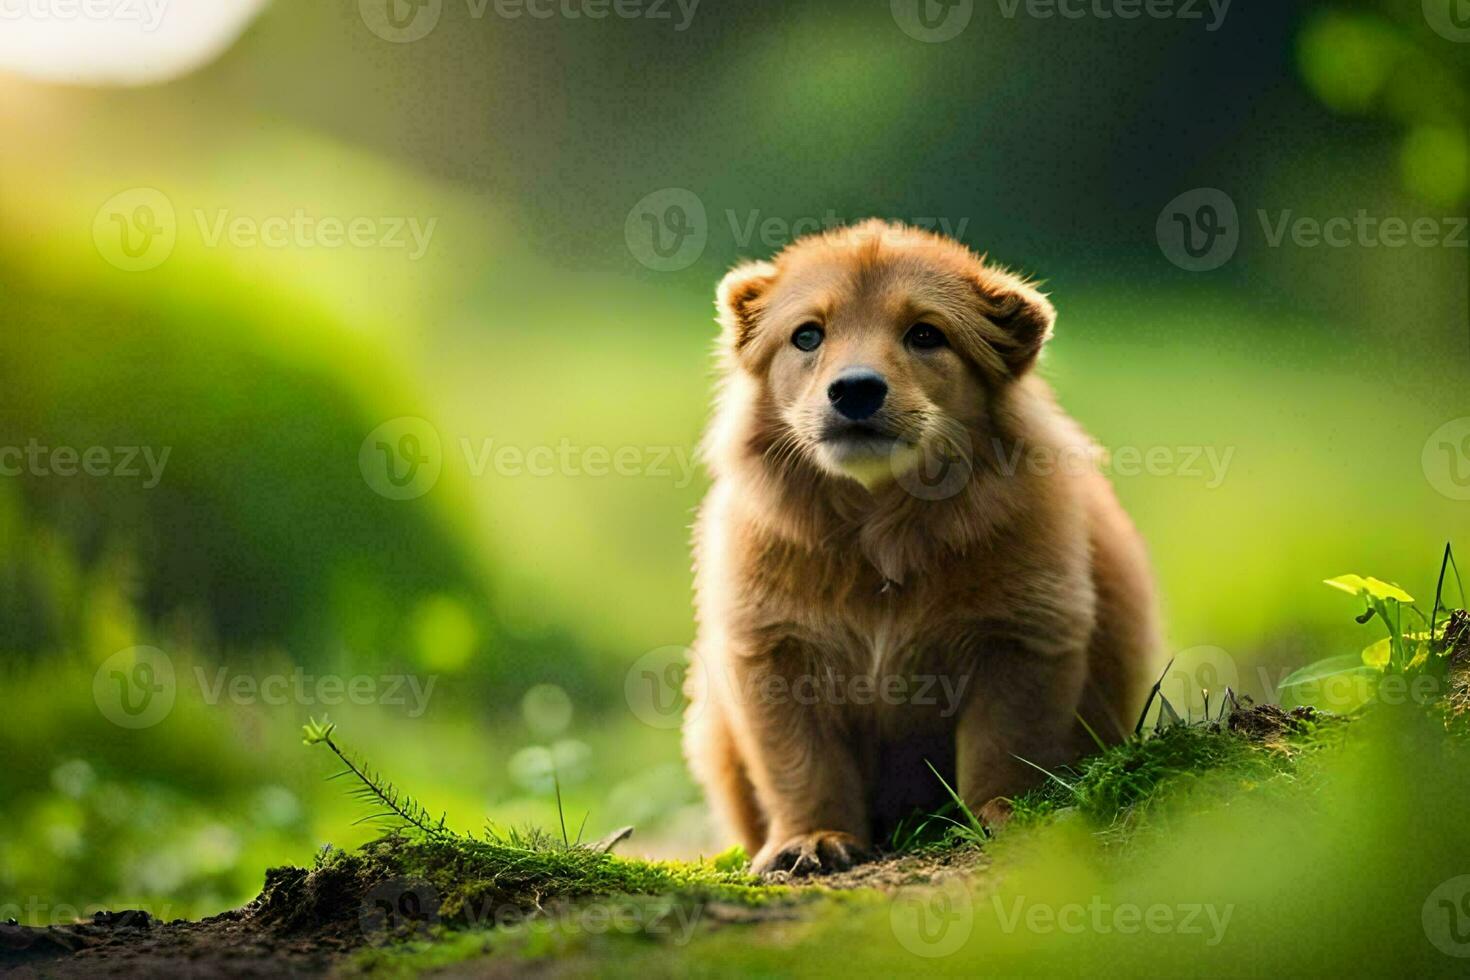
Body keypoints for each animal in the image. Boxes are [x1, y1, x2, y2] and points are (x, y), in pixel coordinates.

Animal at [685, 220, 1158, 875]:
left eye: (926, 335)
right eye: (807, 335)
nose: (855, 391)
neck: (881, 529)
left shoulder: (1025, 637)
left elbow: (1005, 744)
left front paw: (1003, 814)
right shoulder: (772, 651)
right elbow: (800, 764)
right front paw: (812, 838)